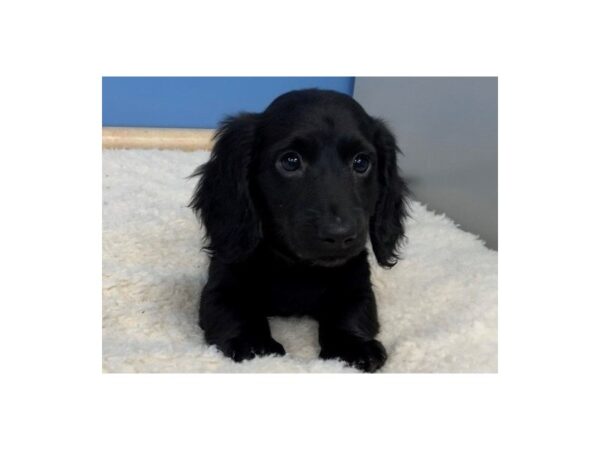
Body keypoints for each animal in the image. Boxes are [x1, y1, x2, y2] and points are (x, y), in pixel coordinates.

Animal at [190, 89, 410, 372]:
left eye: (361, 162)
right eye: (291, 161)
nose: (340, 234)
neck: (297, 268)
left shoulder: (357, 285)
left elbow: (351, 313)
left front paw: (352, 347)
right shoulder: (221, 285)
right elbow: (235, 311)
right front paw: (254, 345)